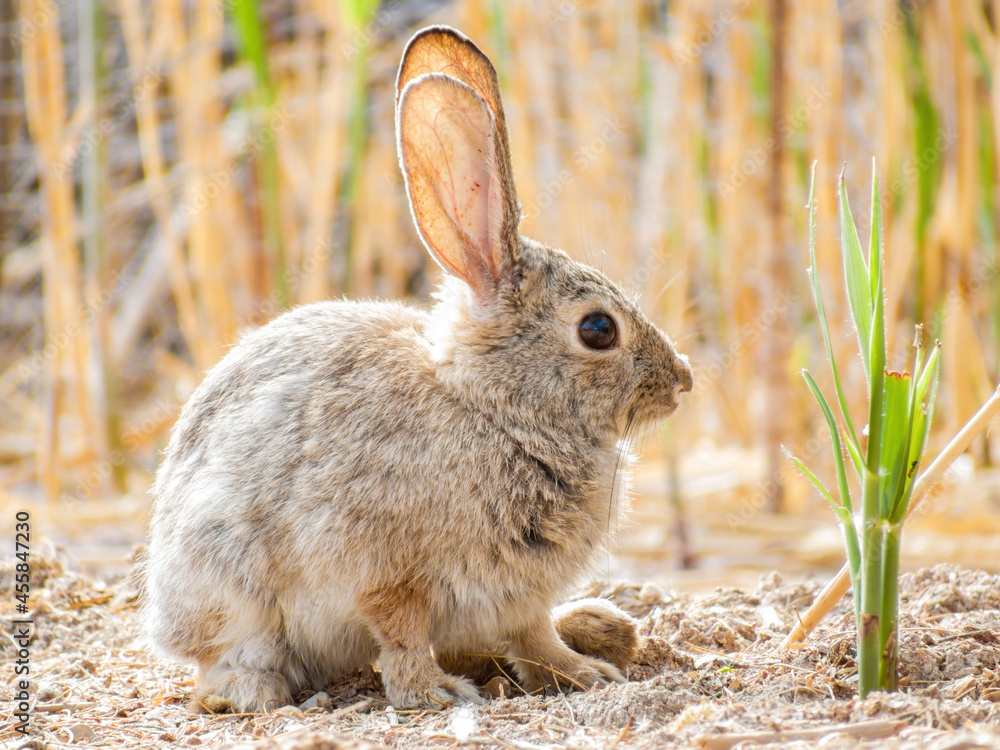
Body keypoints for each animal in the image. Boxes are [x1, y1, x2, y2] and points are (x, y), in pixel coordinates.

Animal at [143, 25, 692, 713]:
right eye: (598, 330)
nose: (682, 382)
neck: (496, 409)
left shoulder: (519, 594)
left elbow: (534, 634)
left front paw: (581, 673)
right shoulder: (385, 572)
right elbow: (401, 633)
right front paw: (434, 694)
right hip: (229, 582)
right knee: (224, 664)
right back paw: (257, 688)